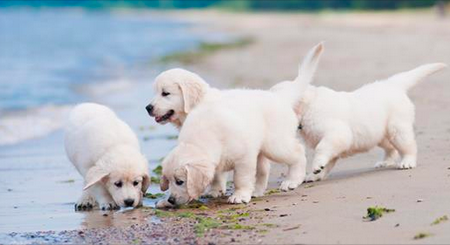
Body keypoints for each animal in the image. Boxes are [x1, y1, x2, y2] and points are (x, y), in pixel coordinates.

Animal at [272, 50, 444, 182]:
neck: (309, 106)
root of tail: (393, 84)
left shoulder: (337, 135)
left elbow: (322, 149)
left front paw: (316, 167)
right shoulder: (334, 144)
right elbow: (328, 159)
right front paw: (315, 175)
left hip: (397, 129)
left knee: (408, 146)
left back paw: (407, 162)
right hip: (379, 134)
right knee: (390, 148)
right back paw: (385, 162)